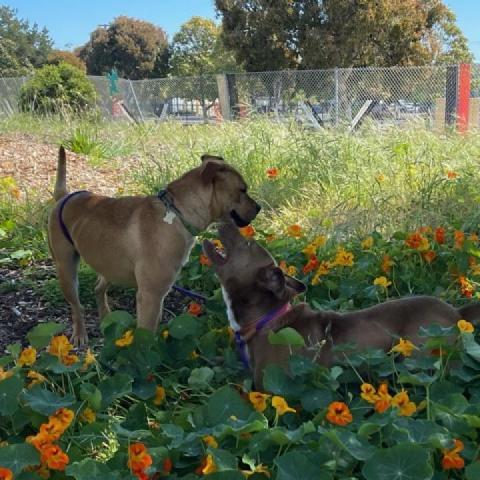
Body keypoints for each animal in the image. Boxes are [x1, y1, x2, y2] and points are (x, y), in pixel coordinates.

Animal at [47, 147, 260, 344]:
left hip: (109, 265)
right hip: (66, 270)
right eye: (242, 190)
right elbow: (146, 336)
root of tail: (64, 197)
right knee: (76, 306)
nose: (259, 208)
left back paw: (106, 318)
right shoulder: (150, 296)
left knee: (99, 287)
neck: (178, 213)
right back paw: (80, 333)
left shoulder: (158, 295)